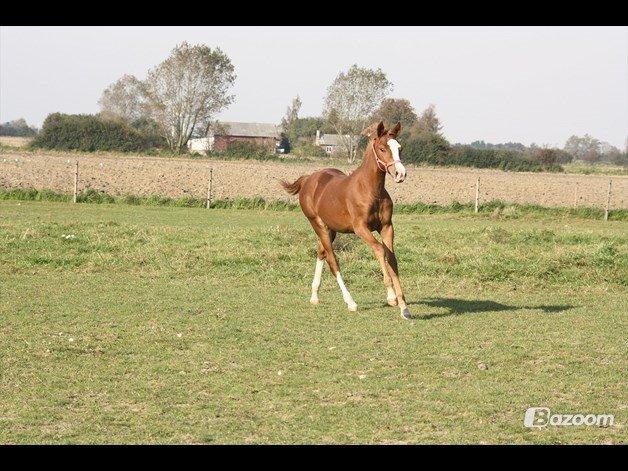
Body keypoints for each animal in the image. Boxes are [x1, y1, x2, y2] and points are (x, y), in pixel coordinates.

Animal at [280, 121, 412, 320]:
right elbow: (380, 250)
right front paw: (391, 297)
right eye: (382, 148)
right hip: (318, 225)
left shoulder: (387, 227)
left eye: (400, 148)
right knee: (332, 260)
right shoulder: (361, 228)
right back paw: (350, 302)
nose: (400, 174)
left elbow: (391, 257)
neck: (371, 190)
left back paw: (314, 296)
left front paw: (404, 307)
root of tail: (310, 179)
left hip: (331, 229)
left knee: (321, 253)